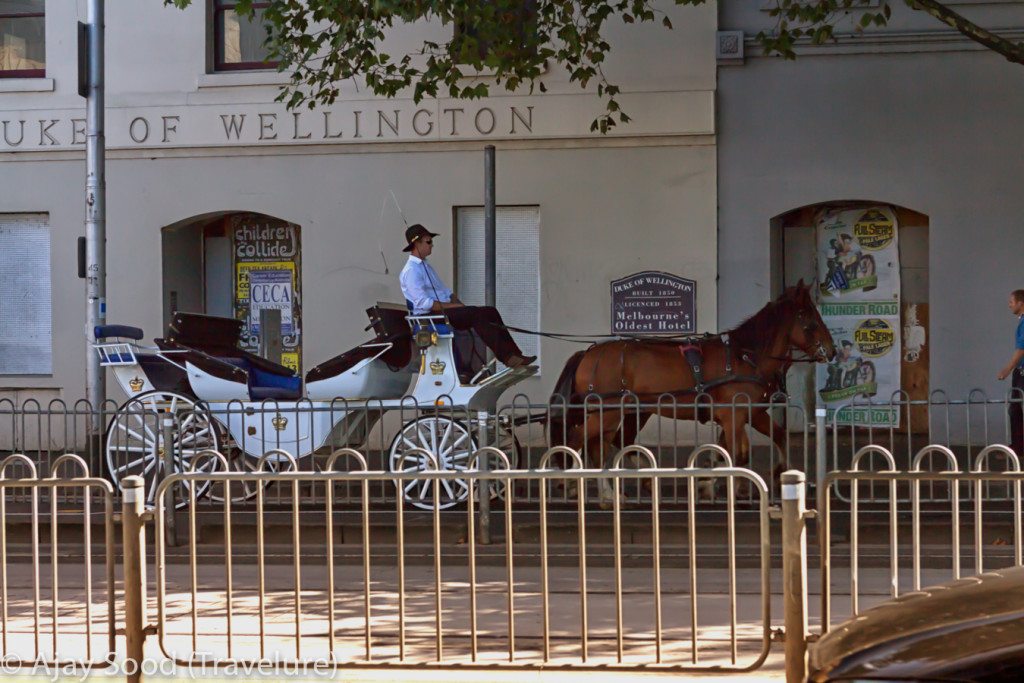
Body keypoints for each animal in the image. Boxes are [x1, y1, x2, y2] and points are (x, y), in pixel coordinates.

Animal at [548, 280, 835, 505]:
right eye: (810, 319)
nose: (831, 351)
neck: (746, 356)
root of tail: (588, 353)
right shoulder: (733, 416)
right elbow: (736, 452)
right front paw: (724, 486)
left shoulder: (748, 413)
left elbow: (769, 439)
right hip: (608, 411)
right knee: (579, 438)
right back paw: (572, 483)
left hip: (616, 412)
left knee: (600, 443)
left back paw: (610, 490)